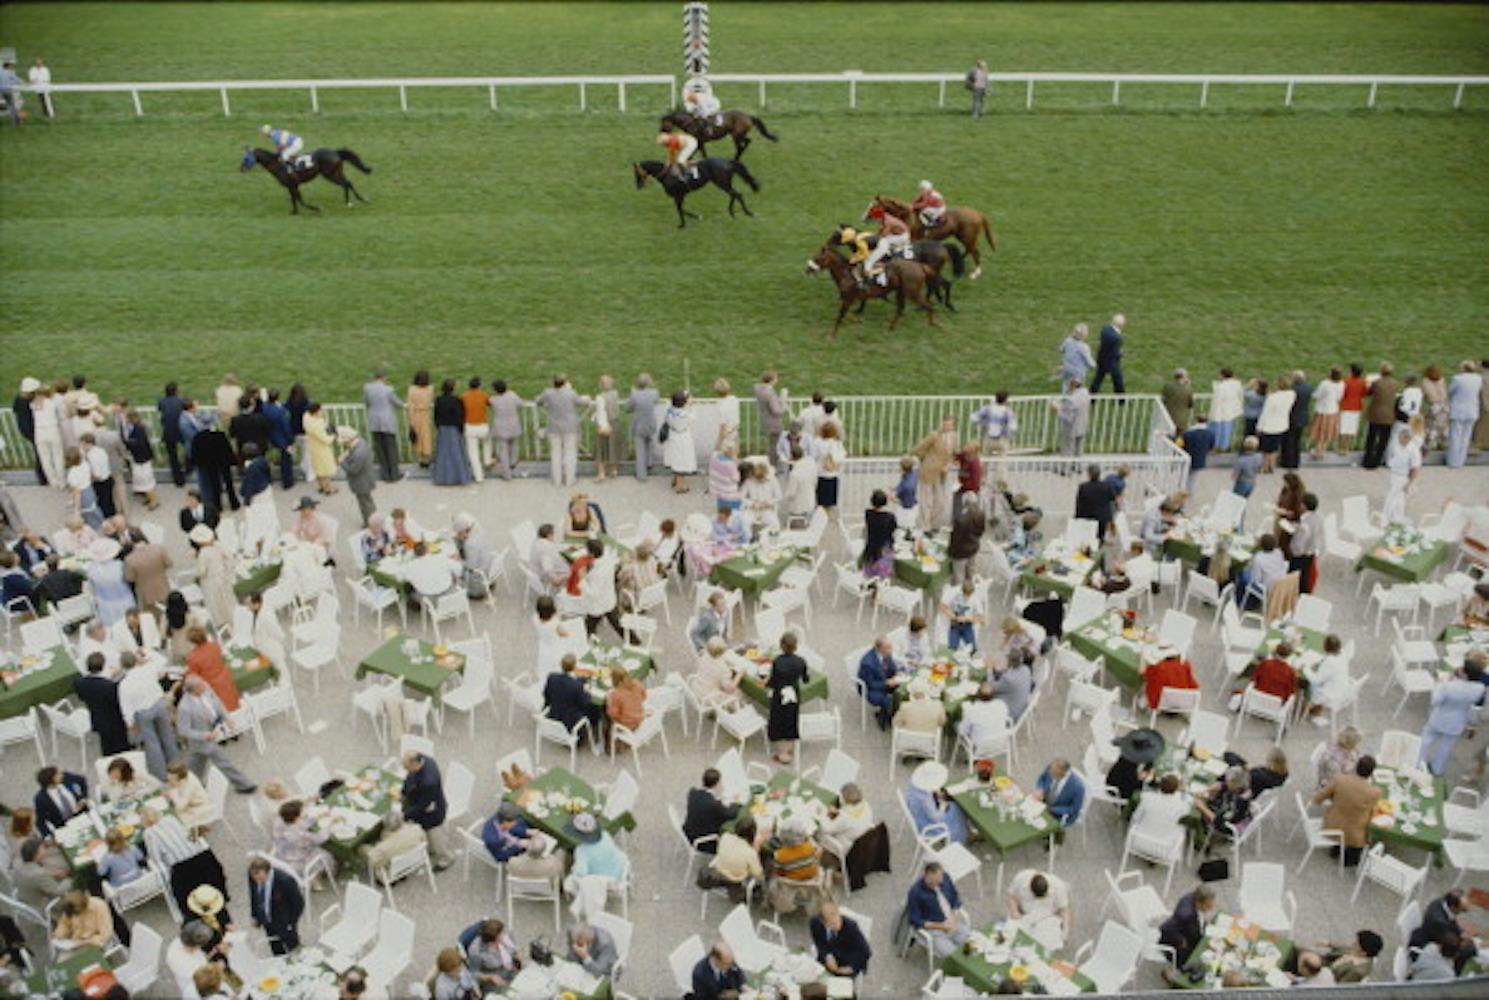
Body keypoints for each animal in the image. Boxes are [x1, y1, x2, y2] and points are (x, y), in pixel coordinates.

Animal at [241, 144, 372, 212]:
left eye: (246, 159)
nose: (241, 169)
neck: (278, 165)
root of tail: (335, 152)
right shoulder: (292, 185)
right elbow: (295, 199)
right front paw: (295, 212)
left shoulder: (292, 184)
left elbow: (300, 200)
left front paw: (315, 208)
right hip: (336, 173)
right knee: (348, 183)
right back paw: (355, 201)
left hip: (330, 175)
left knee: (346, 183)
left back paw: (352, 202)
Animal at [634, 156, 762, 229]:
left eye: (637, 174)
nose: (637, 186)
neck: (667, 174)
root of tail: (727, 161)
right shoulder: (680, 196)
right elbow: (681, 209)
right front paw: (685, 223)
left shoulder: (679, 195)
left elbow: (680, 209)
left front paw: (691, 220)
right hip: (724, 184)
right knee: (734, 195)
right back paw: (732, 212)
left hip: (722, 183)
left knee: (737, 194)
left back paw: (747, 213)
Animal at [804, 242, 941, 337]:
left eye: (818, 258)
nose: (808, 269)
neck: (846, 273)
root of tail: (921, 266)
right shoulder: (849, 299)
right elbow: (848, 315)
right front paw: (856, 320)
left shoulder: (848, 299)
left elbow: (840, 316)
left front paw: (832, 335)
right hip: (901, 292)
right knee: (901, 309)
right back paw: (891, 328)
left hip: (912, 292)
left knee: (928, 305)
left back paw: (932, 324)